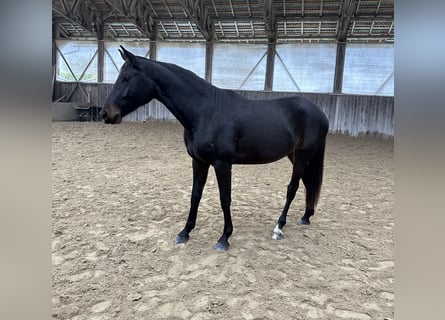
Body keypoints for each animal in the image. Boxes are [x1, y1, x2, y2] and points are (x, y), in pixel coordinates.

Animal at [102, 45, 328, 250]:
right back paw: (306, 217)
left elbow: (225, 199)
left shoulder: (222, 164)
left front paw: (224, 238)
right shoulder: (199, 162)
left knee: (293, 188)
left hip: (302, 156)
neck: (205, 112)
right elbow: (195, 195)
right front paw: (184, 233)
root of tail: (319, 113)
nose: (106, 114)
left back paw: (279, 227)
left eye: (126, 78)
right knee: (307, 184)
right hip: (296, 156)